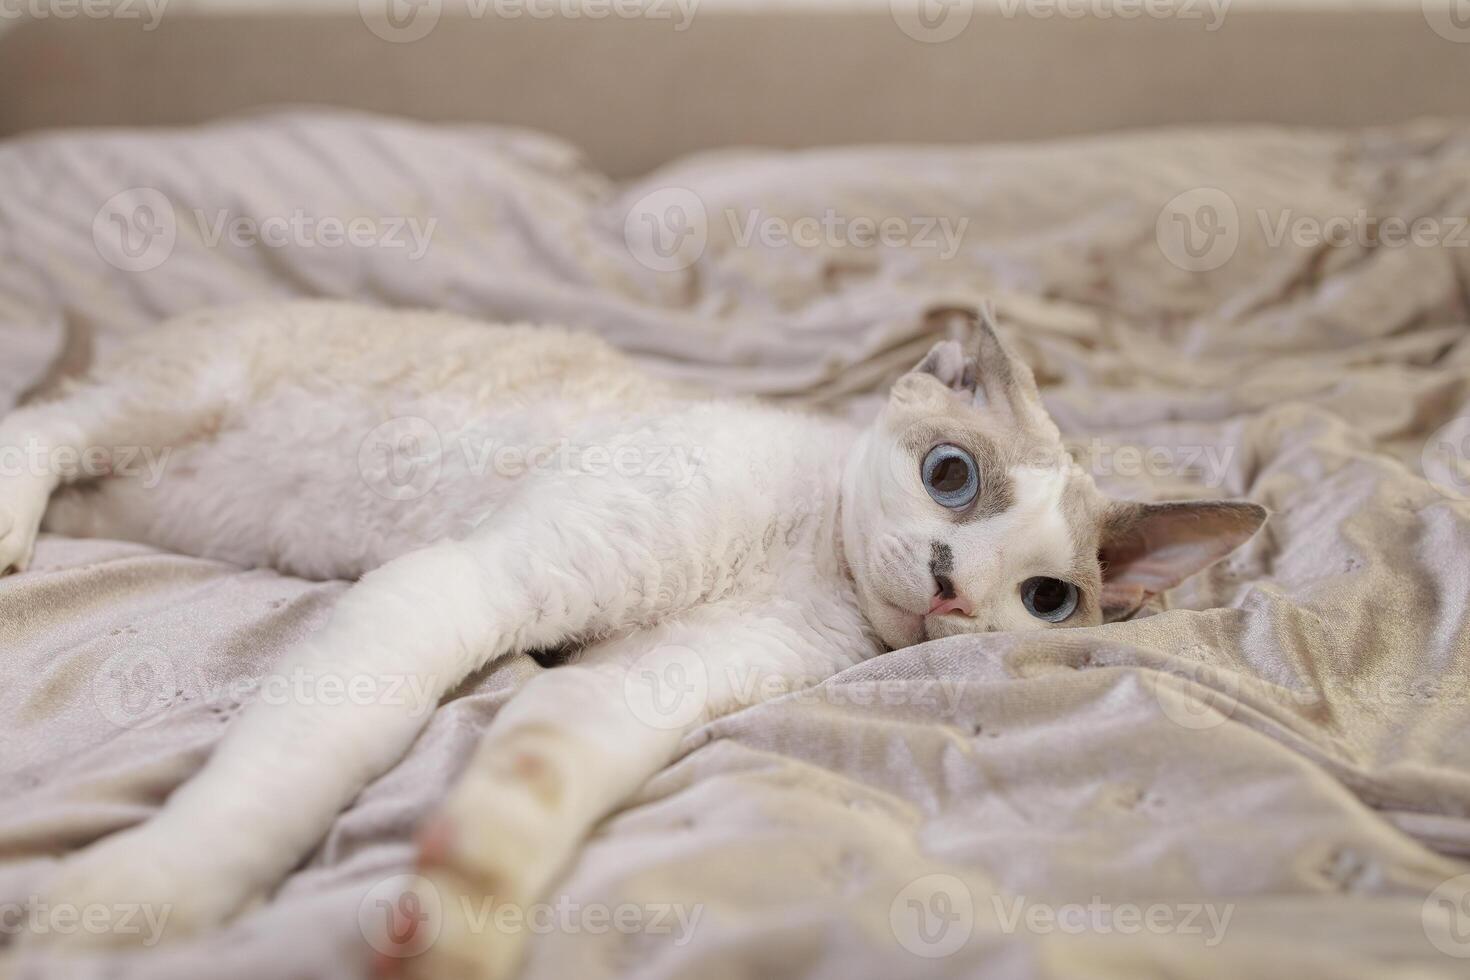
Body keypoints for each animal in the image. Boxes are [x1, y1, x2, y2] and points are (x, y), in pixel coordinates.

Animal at [0, 302, 1264, 975]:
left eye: (1049, 600)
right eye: (951, 477)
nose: (955, 591)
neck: (805, 559)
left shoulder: (634, 689)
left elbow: (538, 776)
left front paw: (449, 922)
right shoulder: (477, 581)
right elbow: (291, 769)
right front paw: (140, 902)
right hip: (178, 397)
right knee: (48, 423)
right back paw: (11, 521)